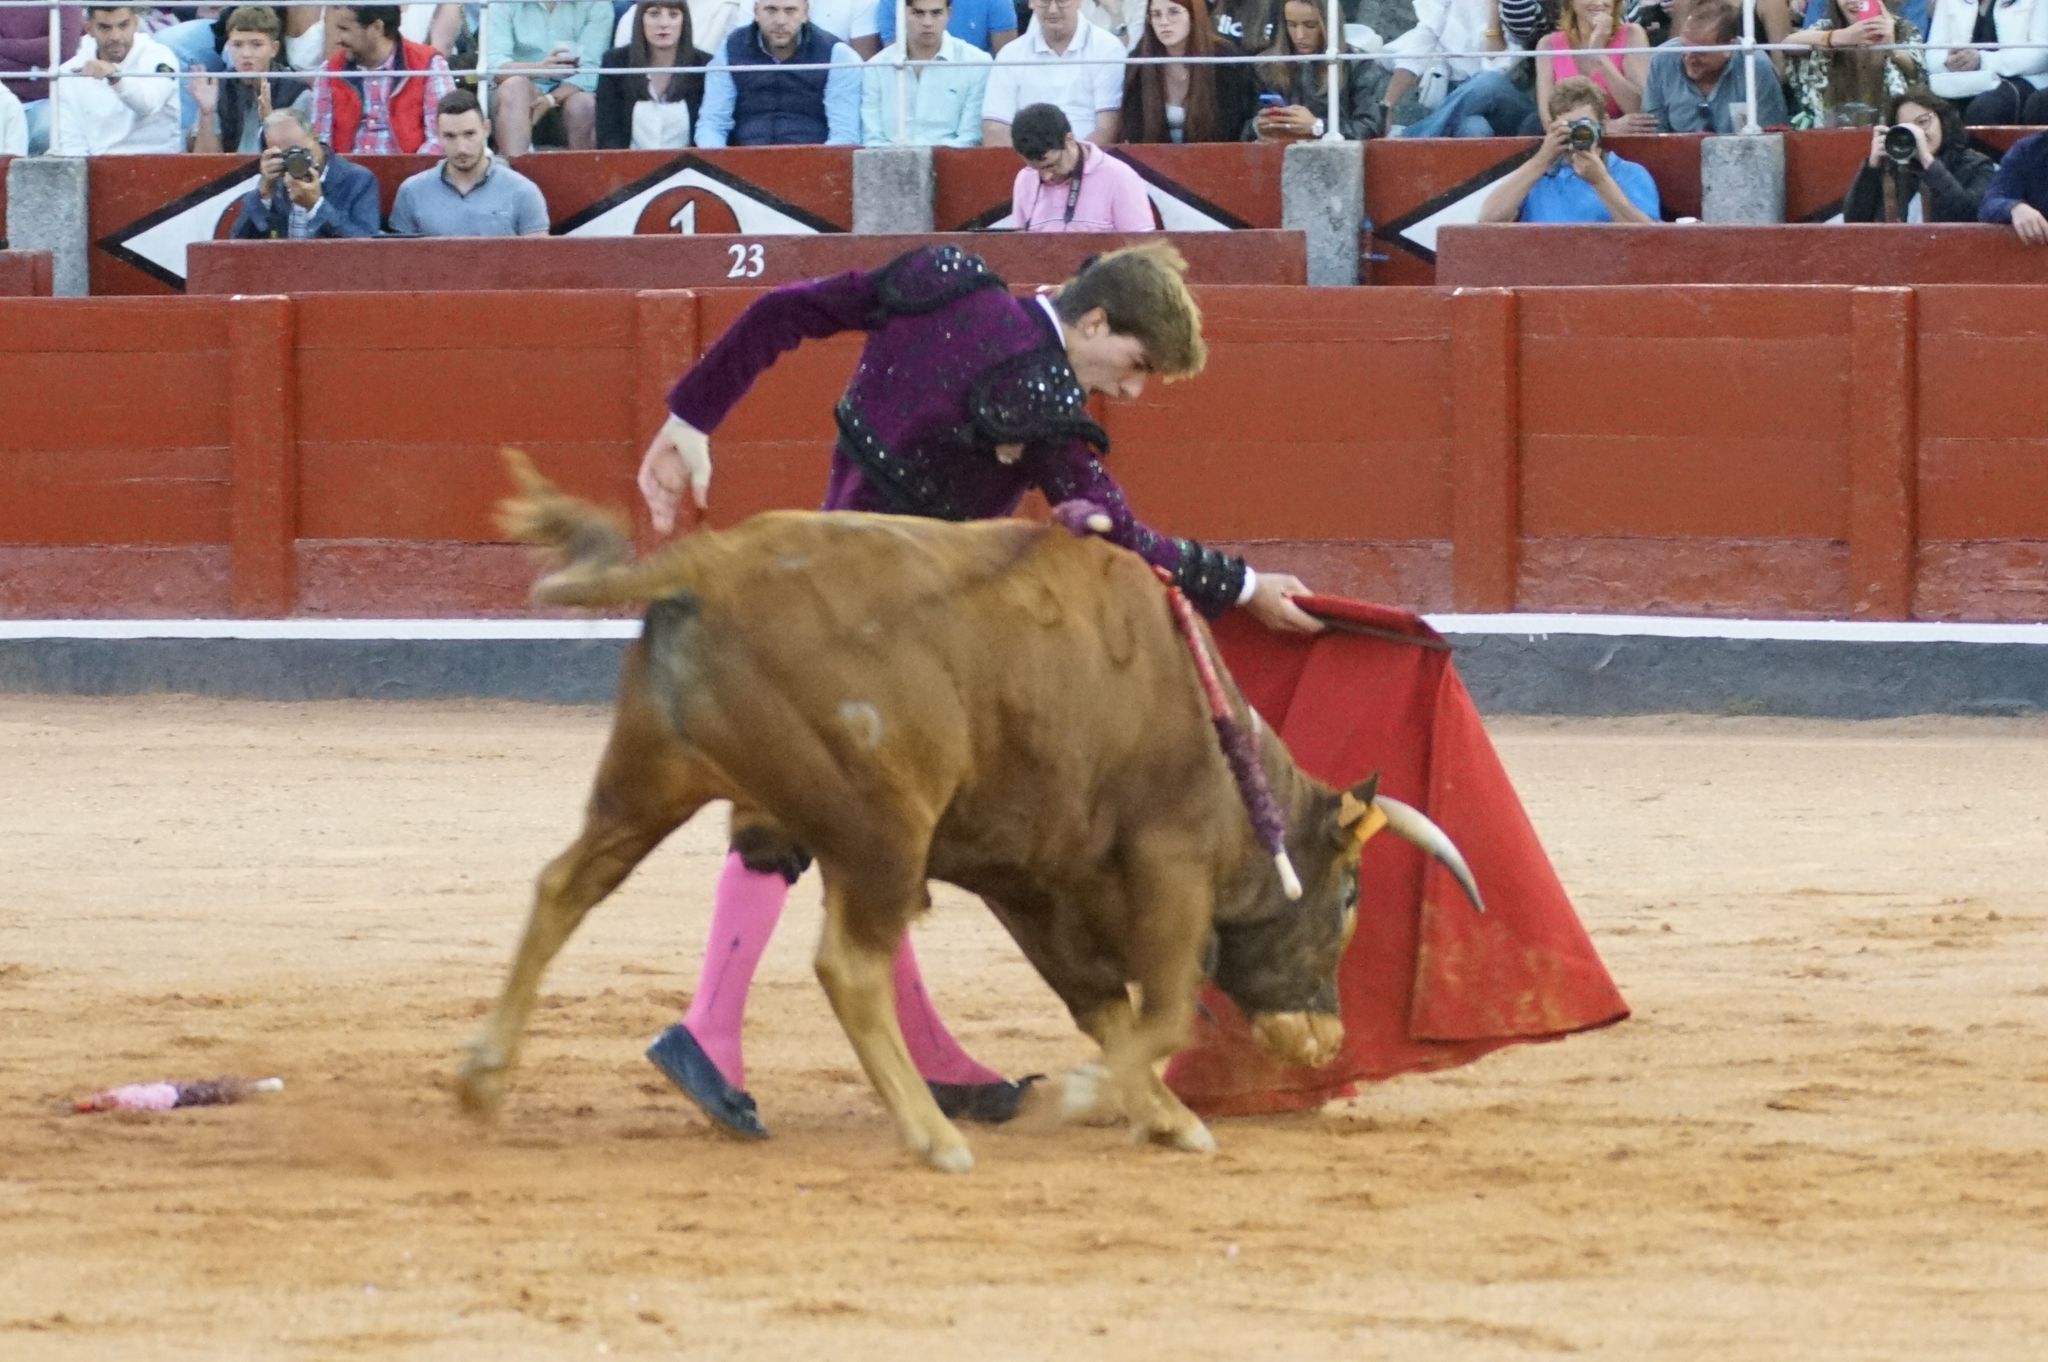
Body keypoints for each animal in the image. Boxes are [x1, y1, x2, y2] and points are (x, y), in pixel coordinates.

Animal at [456, 454, 1482, 1171]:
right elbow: (1163, 1009)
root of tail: (711, 562)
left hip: (650, 782)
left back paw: (483, 1078)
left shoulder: (1031, 879)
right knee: (849, 965)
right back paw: (930, 1136)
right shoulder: (1166, 861)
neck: (1222, 754)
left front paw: (1162, 1114)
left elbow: (1106, 1008)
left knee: (566, 886)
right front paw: (1104, 1100)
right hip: (880, 827)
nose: (1327, 1041)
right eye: (1349, 896)